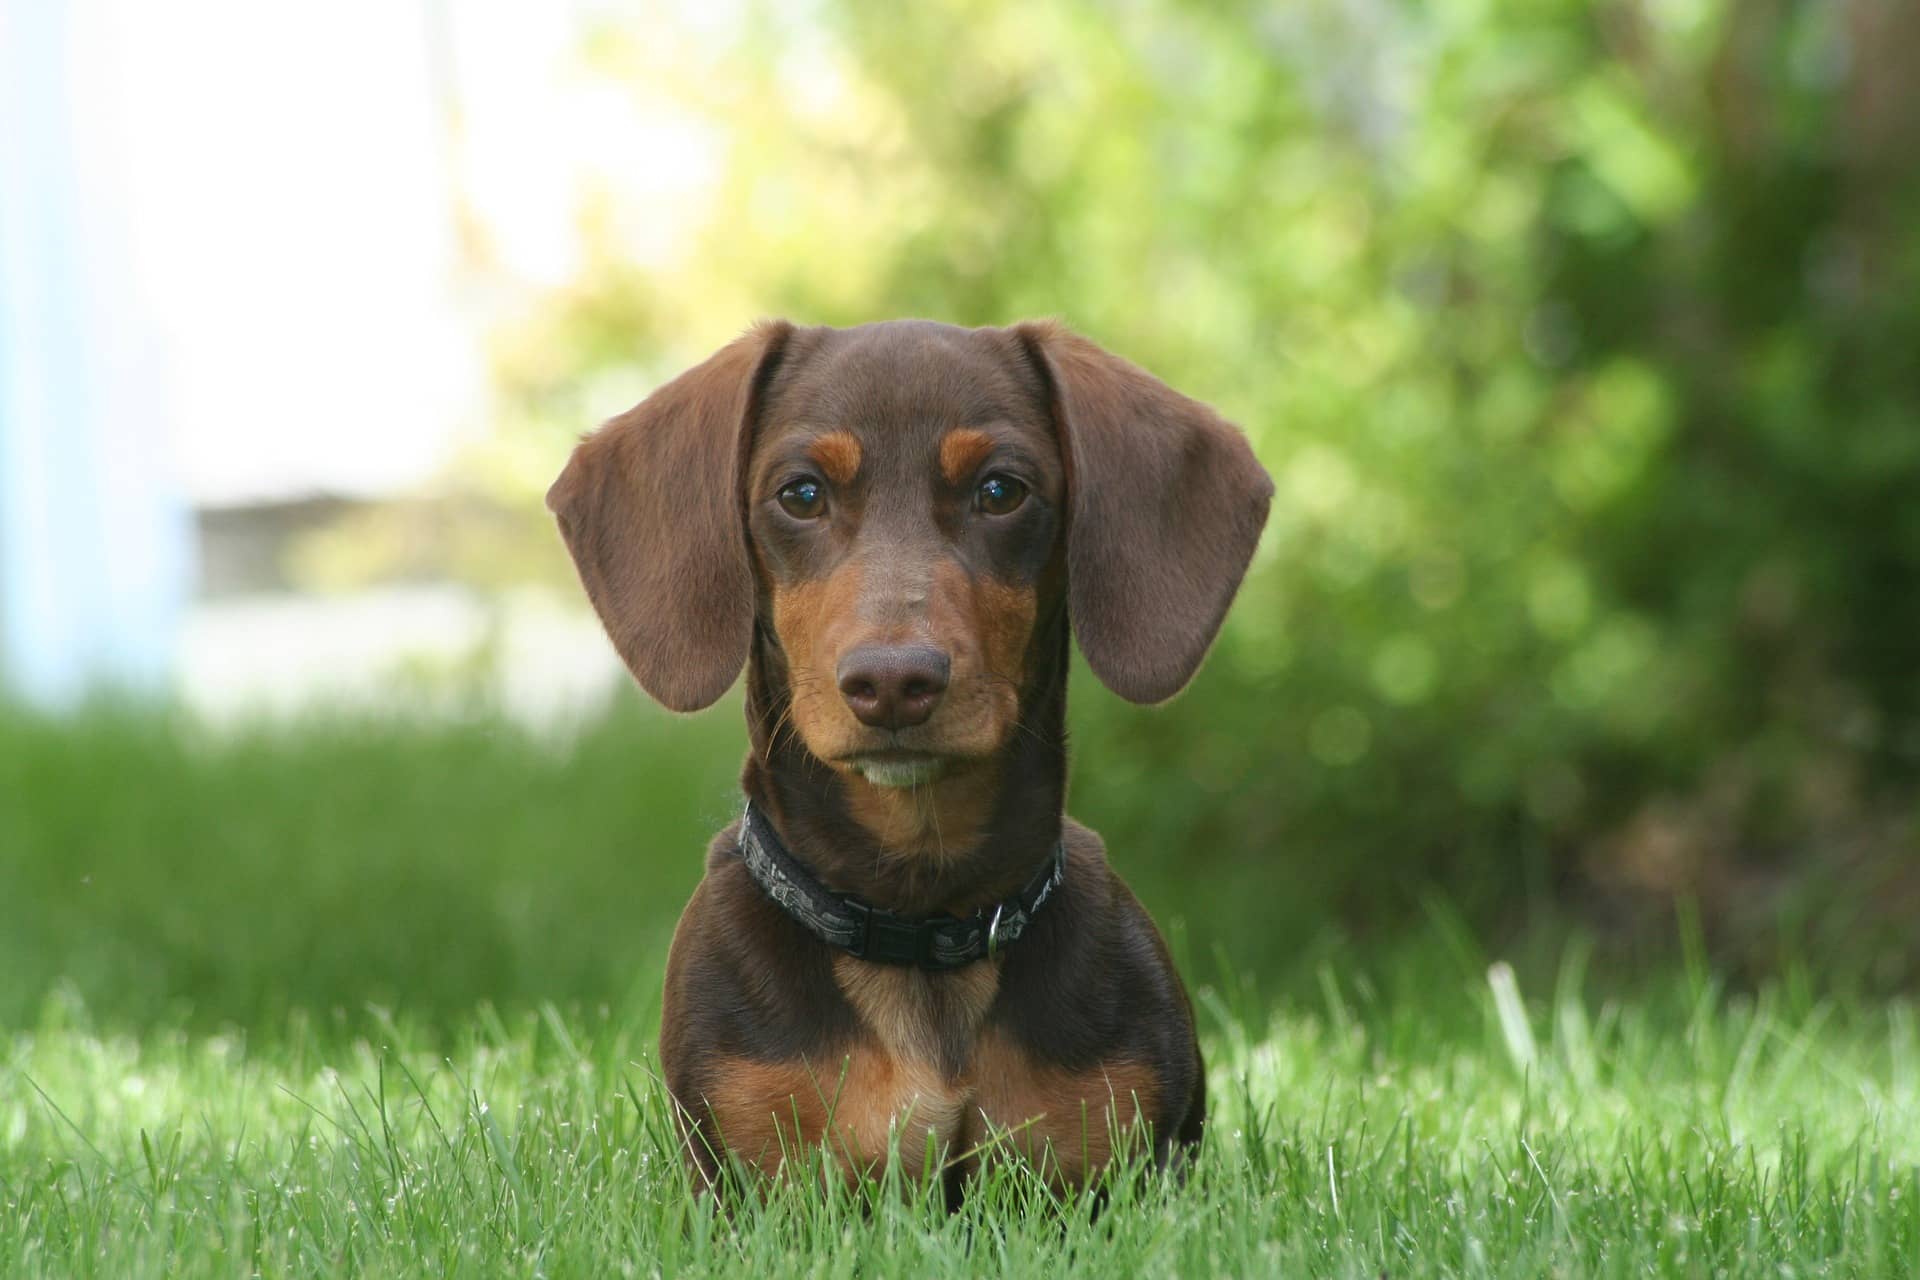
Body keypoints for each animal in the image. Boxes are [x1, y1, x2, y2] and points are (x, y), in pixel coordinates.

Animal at [549, 320, 1274, 1205]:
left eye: (1001, 490)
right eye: (801, 494)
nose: (893, 683)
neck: (919, 919)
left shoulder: (1117, 1175)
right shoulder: (748, 1177)